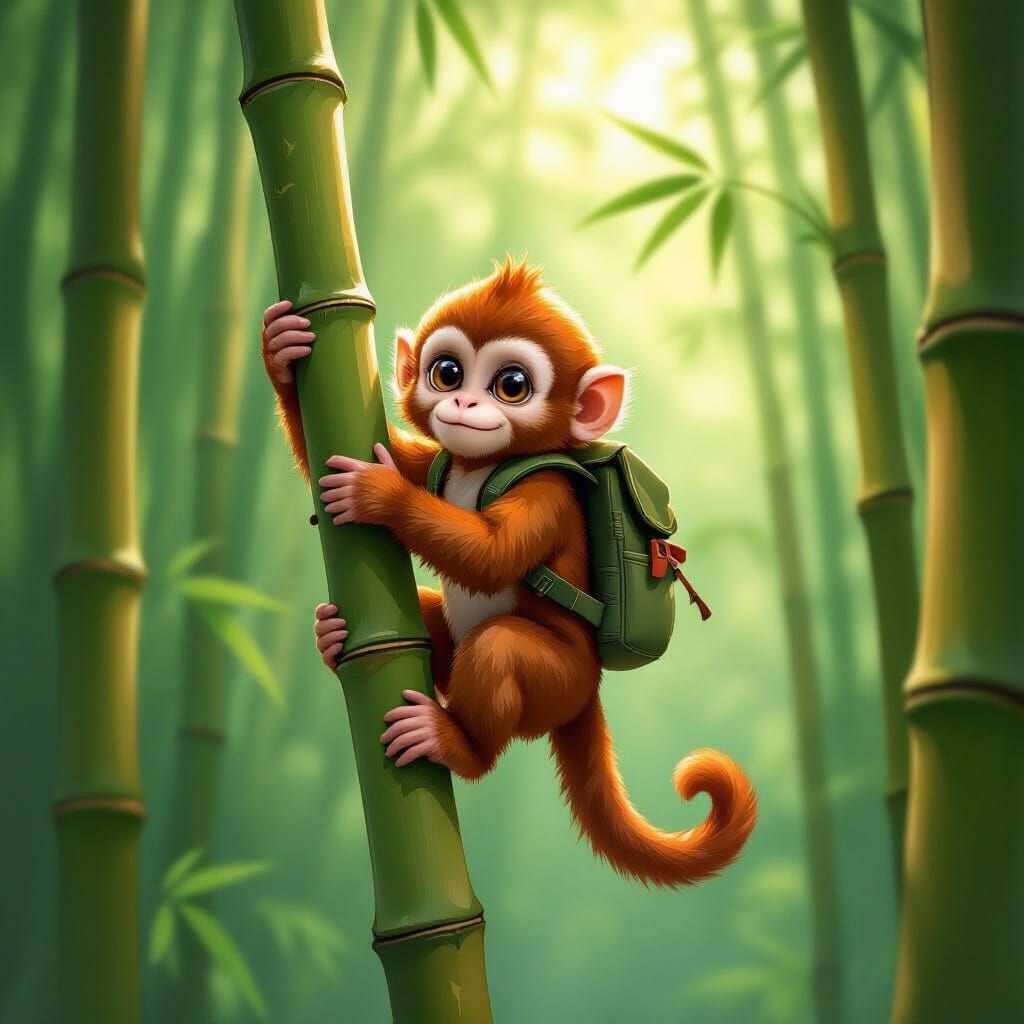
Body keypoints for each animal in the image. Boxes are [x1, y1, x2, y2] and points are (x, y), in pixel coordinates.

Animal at [262, 257, 757, 887]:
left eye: (511, 386)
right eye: (447, 373)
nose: (465, 406)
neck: (485, 464)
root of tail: (590, 688)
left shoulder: (546, 493)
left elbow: (492, 555)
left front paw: (379, 494)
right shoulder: (439, 459)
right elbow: (381, 452)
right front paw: (281, 349)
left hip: (557, 682)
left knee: (499, 649)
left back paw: (458, 747)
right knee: (428, 623)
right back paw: (335, 642)